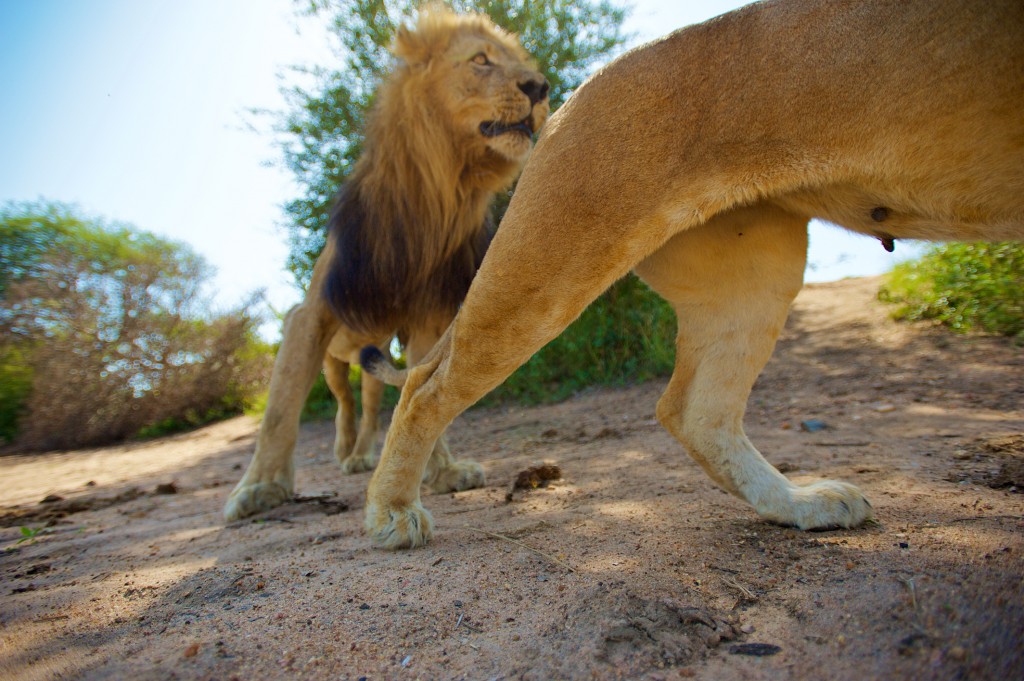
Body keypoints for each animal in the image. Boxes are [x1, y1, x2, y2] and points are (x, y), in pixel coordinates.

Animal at [220, 6, 548, 520]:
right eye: (480, 60)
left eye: (519, 63)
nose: (540, 88)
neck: (436, 198)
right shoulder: (309, 314)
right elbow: (280, 407)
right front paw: (258, 488)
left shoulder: (428, 319)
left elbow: (423, 385)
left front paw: (443, 471)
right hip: (335, 361)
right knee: (343, 402)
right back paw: (344, 451)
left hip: (373, 350)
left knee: (372, 401)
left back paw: (362, 454)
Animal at [358, 0, 1024, 548]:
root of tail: (573, 94)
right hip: (555, 252)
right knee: (426, 387)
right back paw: (392, 515)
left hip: (756, 264)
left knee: (693, 410)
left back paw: (799, 505)